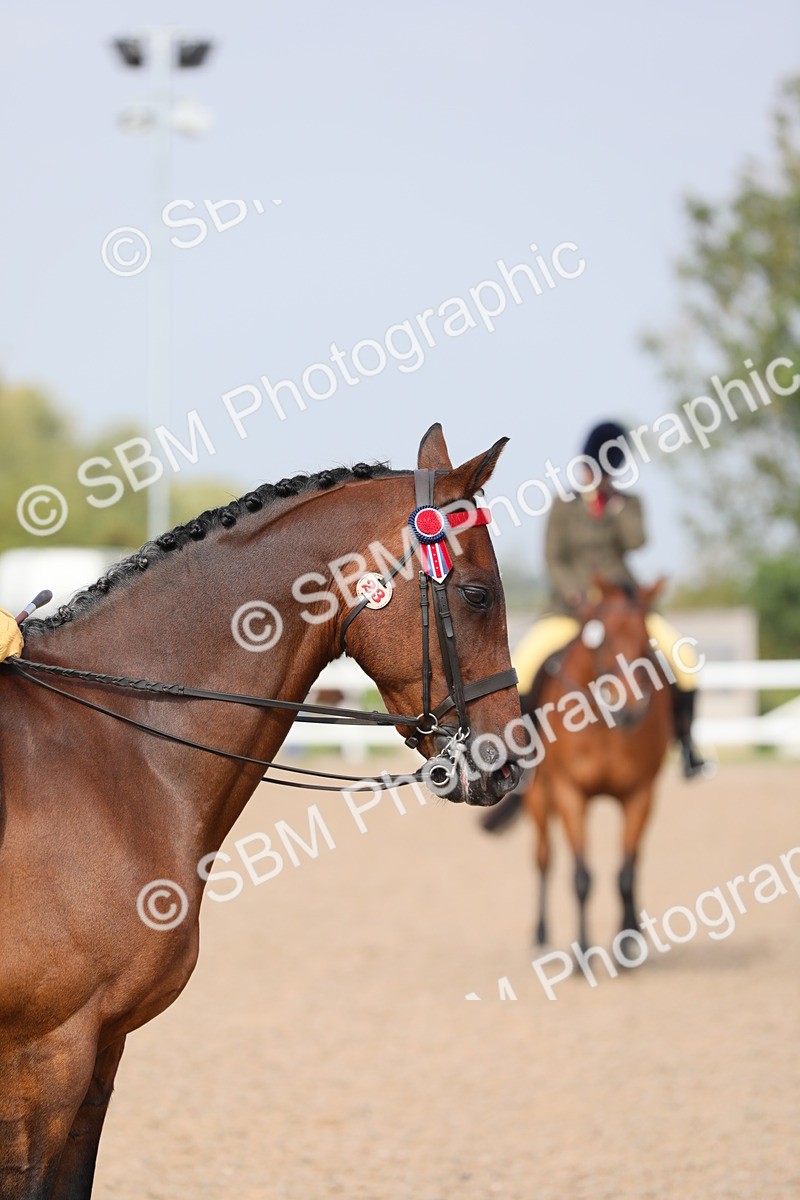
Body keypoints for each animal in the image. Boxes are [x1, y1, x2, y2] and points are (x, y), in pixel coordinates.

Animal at [490, 578, 673, 953]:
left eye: (645, 638)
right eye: (604, 638)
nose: (631, 709)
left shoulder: (640, 795)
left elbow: (626, 874)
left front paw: (627, 943)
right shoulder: (569, 793)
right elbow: (581, 877)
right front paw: (583, 954)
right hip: (540, 800)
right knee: (544, 858)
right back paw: (541, 933)